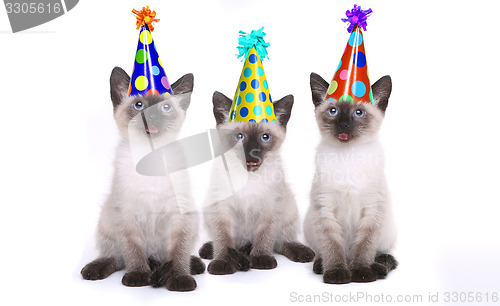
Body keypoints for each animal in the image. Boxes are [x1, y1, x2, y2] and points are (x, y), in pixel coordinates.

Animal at [81, 67, 204, 292]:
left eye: (165, 107)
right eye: (139, 105)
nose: (152, 115)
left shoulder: (180, 215)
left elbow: (179, 253)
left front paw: (180, 278)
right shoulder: (126, 213)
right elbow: (133, 250)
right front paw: (138, 276)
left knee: (170, 256)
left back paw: (193, 265)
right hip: (107, 217)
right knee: (116, 257)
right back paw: (95, 270)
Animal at [198, 91, 312, 274]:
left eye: (265, 137)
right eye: (239, 137)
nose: (252, 154)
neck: (249, 178)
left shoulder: (271, 206)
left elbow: (265, 237)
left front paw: (261, 259)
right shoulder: (220, 207)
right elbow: (223, 239)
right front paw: (222, 262)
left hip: (289, 208)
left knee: (281, 242)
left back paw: (303, 253)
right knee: (232, 242)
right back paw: (210, 250)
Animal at [304, 72, 398, 284]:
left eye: (359, 113)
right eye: (333, 111)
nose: (344, 125)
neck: (348, 157)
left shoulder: (372, 210)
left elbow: (364, 247)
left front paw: (361, 273)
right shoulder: (324, 209)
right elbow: (332, 247)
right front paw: (337, 274)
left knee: (382, 255)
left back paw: (377, 269)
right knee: (325, 253)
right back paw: (322, 266)